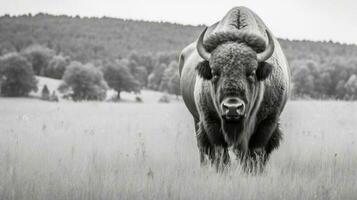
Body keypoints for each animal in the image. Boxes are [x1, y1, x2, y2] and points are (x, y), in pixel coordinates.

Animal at [178, 7, 290, 171]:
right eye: (215, 73)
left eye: (251, 73)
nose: (232, 108)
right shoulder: (210, 121)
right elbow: (220, 153)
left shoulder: (268, 123)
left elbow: (256, 153)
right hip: (196, 119)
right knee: (202, 148)